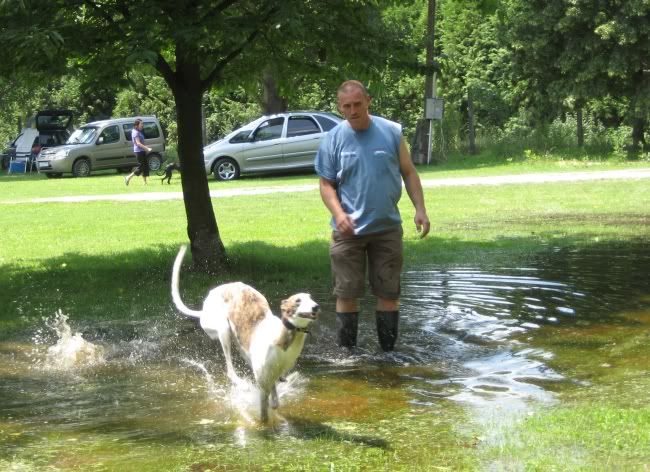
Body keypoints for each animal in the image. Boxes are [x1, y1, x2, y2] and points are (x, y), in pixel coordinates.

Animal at [168, 245, 318, 422]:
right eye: (298, 301)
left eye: (310, 297)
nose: (316, 306)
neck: (283, 340)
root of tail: (204, 309)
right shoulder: (263, 383)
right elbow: (264, 414)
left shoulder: (271, 376)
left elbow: (274, 399)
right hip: (223, 329)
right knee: (230, 371)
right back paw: (242, 385)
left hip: (242, 348)